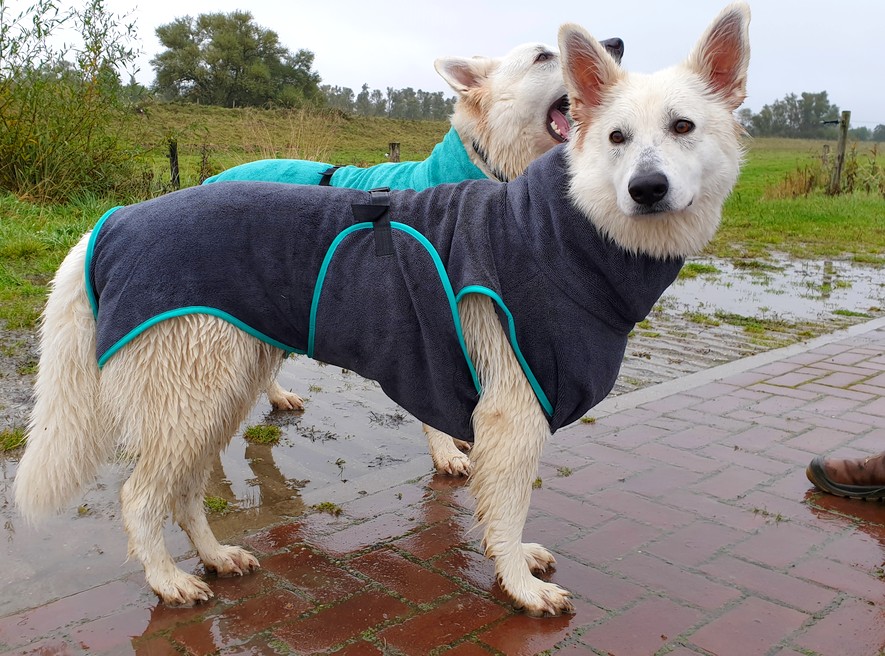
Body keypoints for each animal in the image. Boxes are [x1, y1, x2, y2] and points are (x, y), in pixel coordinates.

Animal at [15, 5, 744, 616]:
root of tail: (111, 221)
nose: (615, 41)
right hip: (191, 398)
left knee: (188, 487)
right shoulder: (510, 403)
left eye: (682, 127)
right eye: (543, 57)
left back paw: (217, 555)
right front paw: (518, 584)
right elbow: (504, 501)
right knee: (140, 497)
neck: (543, 216)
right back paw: (168, 580)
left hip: (216, 389)